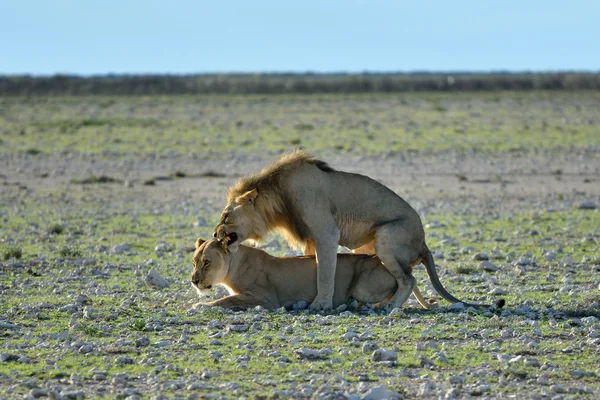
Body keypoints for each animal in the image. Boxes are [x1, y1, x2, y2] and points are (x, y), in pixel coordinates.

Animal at [190, 238, 428, 310]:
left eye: (207, 262)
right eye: (194, 262)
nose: (193, 280)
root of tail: (380, 260)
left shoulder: (266, 298)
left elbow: (227, 299)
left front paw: (201, 305)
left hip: (363, 286)